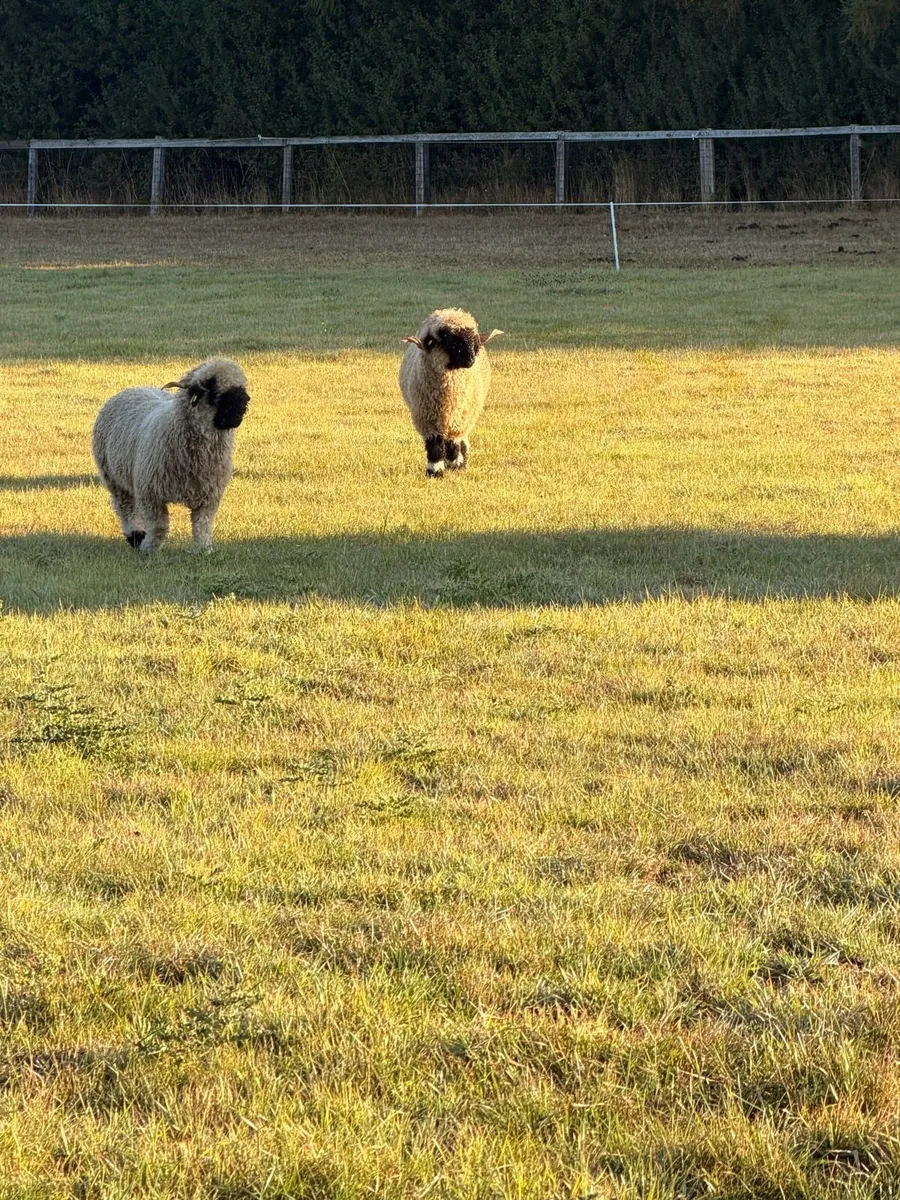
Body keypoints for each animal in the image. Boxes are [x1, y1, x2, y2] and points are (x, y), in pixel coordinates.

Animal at [91, 358, 250, 554]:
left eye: (241, 387)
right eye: (212, 389)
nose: (241, 408)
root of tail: (134, 388)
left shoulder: (209, 497)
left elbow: (202, 526)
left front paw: (204, 550)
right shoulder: (150, 494)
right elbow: (159, 526)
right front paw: (149, 549)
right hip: (114, 479)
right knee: (125, 507)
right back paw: (135, 535)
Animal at [399, 308, 502, 477]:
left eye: (474, 341)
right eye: (451, 342)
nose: (470, 361)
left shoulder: (458, 419)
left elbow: (453, 444)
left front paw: (455, 465)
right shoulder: (427, 419)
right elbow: (434, 445)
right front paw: (435, 471)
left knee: (461, 441)